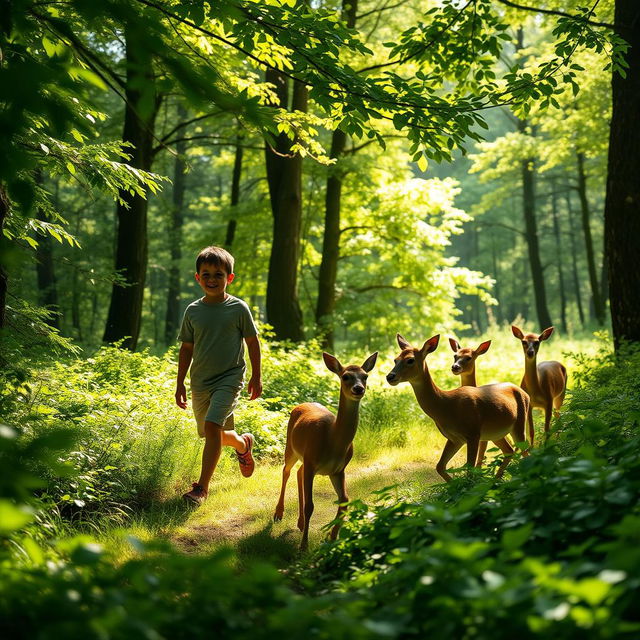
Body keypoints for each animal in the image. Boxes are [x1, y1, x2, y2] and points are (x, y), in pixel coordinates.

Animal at [272, 350, 378, 552]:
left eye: (365, 376)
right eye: (346, 376)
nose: (359, 389)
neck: (333, 440)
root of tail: (301, 404)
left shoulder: (338, 470)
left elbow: (345, 500)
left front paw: (332, 538)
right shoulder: (312, 463)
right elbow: (310, 506)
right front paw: (304, 545)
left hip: (305, 459)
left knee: (298, 472)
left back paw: (300, 523)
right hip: (291, 448)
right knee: (286, 471)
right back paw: (278, 513)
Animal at [384, 336, 528, 480]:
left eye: (410, 360)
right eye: (395, 359)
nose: (390, 376)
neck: (447, 405)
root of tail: (523, 392)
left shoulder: (473, 433)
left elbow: (469, 469)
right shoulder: (454, 438)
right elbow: (440, 467)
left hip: (519, 425)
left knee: (526, 451)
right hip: (495, 433)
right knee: (509, 451)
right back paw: (496, 480)